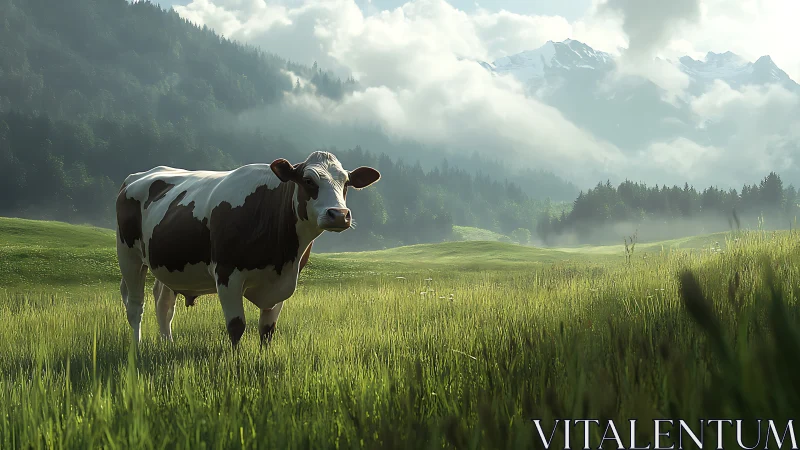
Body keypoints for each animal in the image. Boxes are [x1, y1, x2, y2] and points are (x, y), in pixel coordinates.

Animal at [115, 151, 381, 348]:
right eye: (308, 181)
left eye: (346, 183)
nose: (339, 214)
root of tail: (136, 177)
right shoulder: (226, 274)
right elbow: (236, 326)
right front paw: (235, 362)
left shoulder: (281, 282)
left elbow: (267, 330)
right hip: (128, 255)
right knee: (136, 306)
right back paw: (137, 348)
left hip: (167, 264)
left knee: (164, 304)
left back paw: (167, 343)